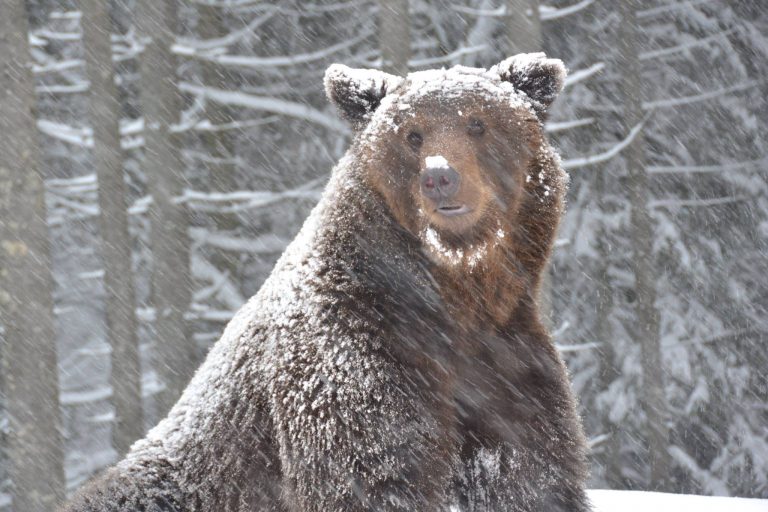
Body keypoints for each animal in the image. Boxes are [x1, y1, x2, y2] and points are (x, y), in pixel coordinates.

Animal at [63, 53, 592, 512]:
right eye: (412, 134)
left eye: (478, 124)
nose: (441, 177)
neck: (456, 294)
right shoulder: (351, 357)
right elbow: (369, 473)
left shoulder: (505, 364)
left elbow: (528, 473)